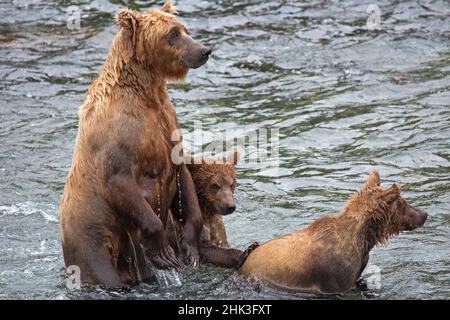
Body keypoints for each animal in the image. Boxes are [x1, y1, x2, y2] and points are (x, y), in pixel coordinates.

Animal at [59, 1, 213, 288]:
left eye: (184, 28)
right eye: (172, 33)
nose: (203, 50)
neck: (145, 93)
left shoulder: (167, 123)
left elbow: (183, 176)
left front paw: (190, 249)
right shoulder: (119, 137)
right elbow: (121, 182)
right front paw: (165, 254)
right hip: (92, 238)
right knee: (101, 270)